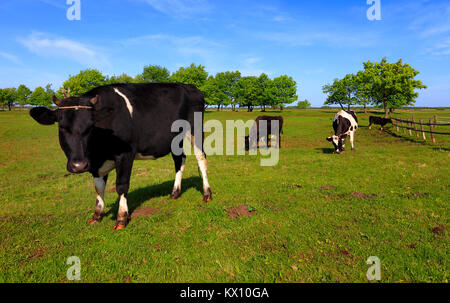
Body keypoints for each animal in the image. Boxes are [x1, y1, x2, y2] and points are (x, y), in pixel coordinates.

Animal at [30, 83, 213, 230]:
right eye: (61, 127)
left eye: (90, 127)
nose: (79, 165)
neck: (98, 151)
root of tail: (190, 86)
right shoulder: (95, 163)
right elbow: (98, 187)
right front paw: (97, 215)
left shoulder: (125, 154)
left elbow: (121, 186)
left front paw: (121, 218)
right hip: (175, 138)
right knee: (179, 159)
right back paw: (175, 192)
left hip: (195, 129)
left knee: (201, 159)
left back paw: (207, 194)